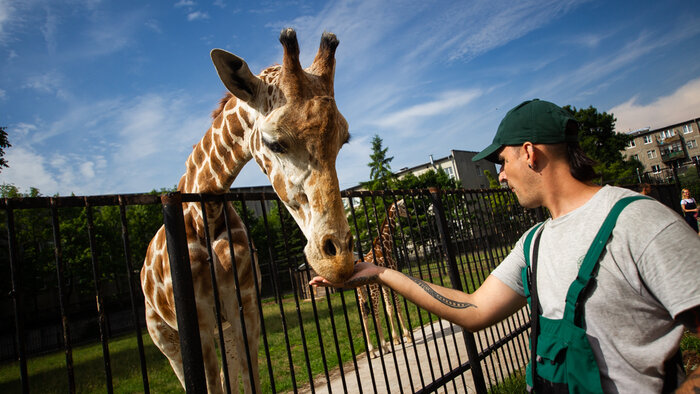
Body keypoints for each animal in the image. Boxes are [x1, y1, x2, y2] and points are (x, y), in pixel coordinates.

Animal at [139, 28, 356, 394]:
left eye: (344, 140)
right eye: (274, 142)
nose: (338, 261)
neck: (207, 215)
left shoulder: (246, 309)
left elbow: (249, 380)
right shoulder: (197, 321)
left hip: (222, 329)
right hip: (163, 336)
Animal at [358, 199, 412, 358]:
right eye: (403, 206)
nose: (410, 215)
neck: (385, 245)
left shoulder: (384, 285)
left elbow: (389, 308)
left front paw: (396, 339)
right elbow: (397, 306)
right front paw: (407, 336)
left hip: (360, 295)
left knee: (364, 316)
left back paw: (372, 351)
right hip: (372, 290)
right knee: (375, 314)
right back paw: (384, 347)